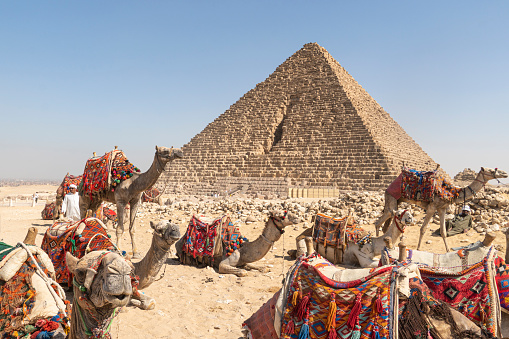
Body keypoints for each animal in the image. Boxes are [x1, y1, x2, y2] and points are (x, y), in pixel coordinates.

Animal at [372, 167, 506, 252]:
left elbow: (443, 231)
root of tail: (388, 188)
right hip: (391, 199)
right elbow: (423, 229)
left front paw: (447, 250)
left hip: (397, 201)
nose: (505, 174)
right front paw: (418, 248)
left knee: (384, 223)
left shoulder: (442, 209)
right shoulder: (432, 207)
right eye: (490, 170)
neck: (451, 192)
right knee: (379, 222)